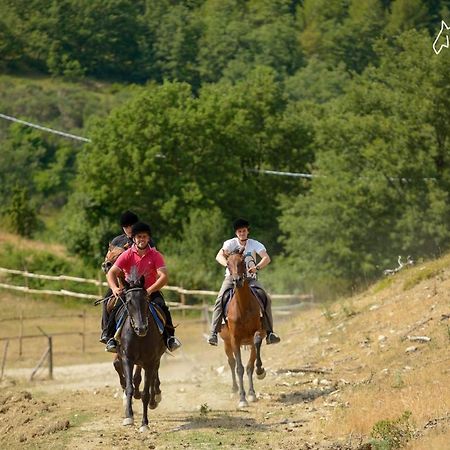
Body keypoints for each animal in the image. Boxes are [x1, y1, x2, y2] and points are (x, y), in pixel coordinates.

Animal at [112, 276, 167, 430]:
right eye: (129, 302)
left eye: (146, 300)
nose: (141, 328)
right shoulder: (127, 358)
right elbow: (129, 387)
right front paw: (128, 416)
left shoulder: (150, 361)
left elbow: (146, 393)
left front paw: (144, 424)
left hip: (156, 358)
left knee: (154, 376)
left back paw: (155, 398)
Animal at [219, 248, 266, 410]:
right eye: (228, 264)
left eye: (242, 262)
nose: (237, 280)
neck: (243, 307)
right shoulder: (235, 339)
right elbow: (239, 368)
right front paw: (242, 399)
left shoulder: (256, 334)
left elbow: (250, 365)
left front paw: (259, 373)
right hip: (227, 343)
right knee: (232, 363)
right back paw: (234, 390)